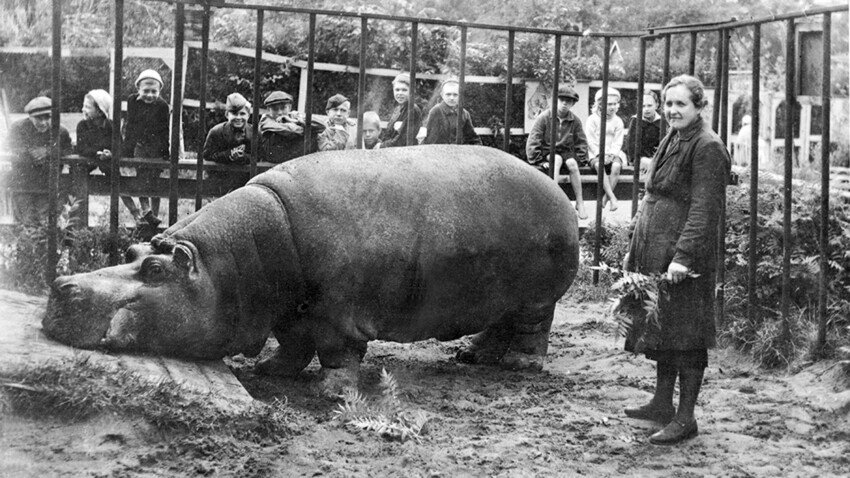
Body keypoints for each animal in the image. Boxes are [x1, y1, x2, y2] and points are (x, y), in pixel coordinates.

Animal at [43, 145, 579, 392]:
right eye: (133, 251)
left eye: (155, 269)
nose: (61, 284)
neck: (231, 262)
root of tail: (558, 192)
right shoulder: (288, 309)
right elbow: (293, 342)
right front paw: (269, 370)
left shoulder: (337, 312)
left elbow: (336, 350)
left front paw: (328, 391)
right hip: (499, 295)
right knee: (497, 324)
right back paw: (470, 355)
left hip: (536, 296)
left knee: (533, 329)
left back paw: (518, 365)